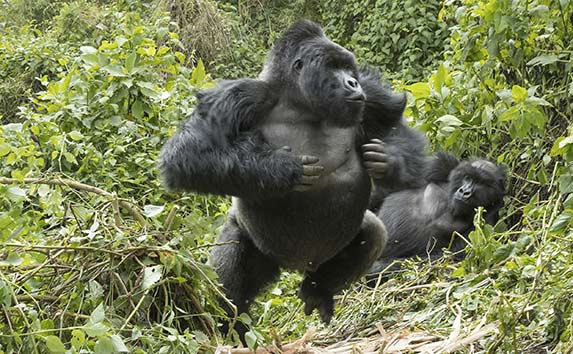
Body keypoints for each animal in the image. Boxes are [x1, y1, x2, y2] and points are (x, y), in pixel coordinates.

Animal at [159, 19, 398, 330]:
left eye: (349, 68)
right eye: (334, 67)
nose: (353, 82)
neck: (301, 104)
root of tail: (295, 266)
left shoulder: (372, 102)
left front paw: (387, 161)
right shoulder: (243, 94)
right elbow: (187, 153)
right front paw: (282, 169)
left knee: (373, 232)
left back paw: (318, 290)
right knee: (231, 283)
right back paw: (229, 325)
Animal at [366, 153, 504, 284]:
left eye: (480, 183)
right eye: (467, 178)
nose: (464, 192)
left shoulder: (491, 216)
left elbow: (450, 257)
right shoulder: (438, 165)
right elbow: (385, 191)